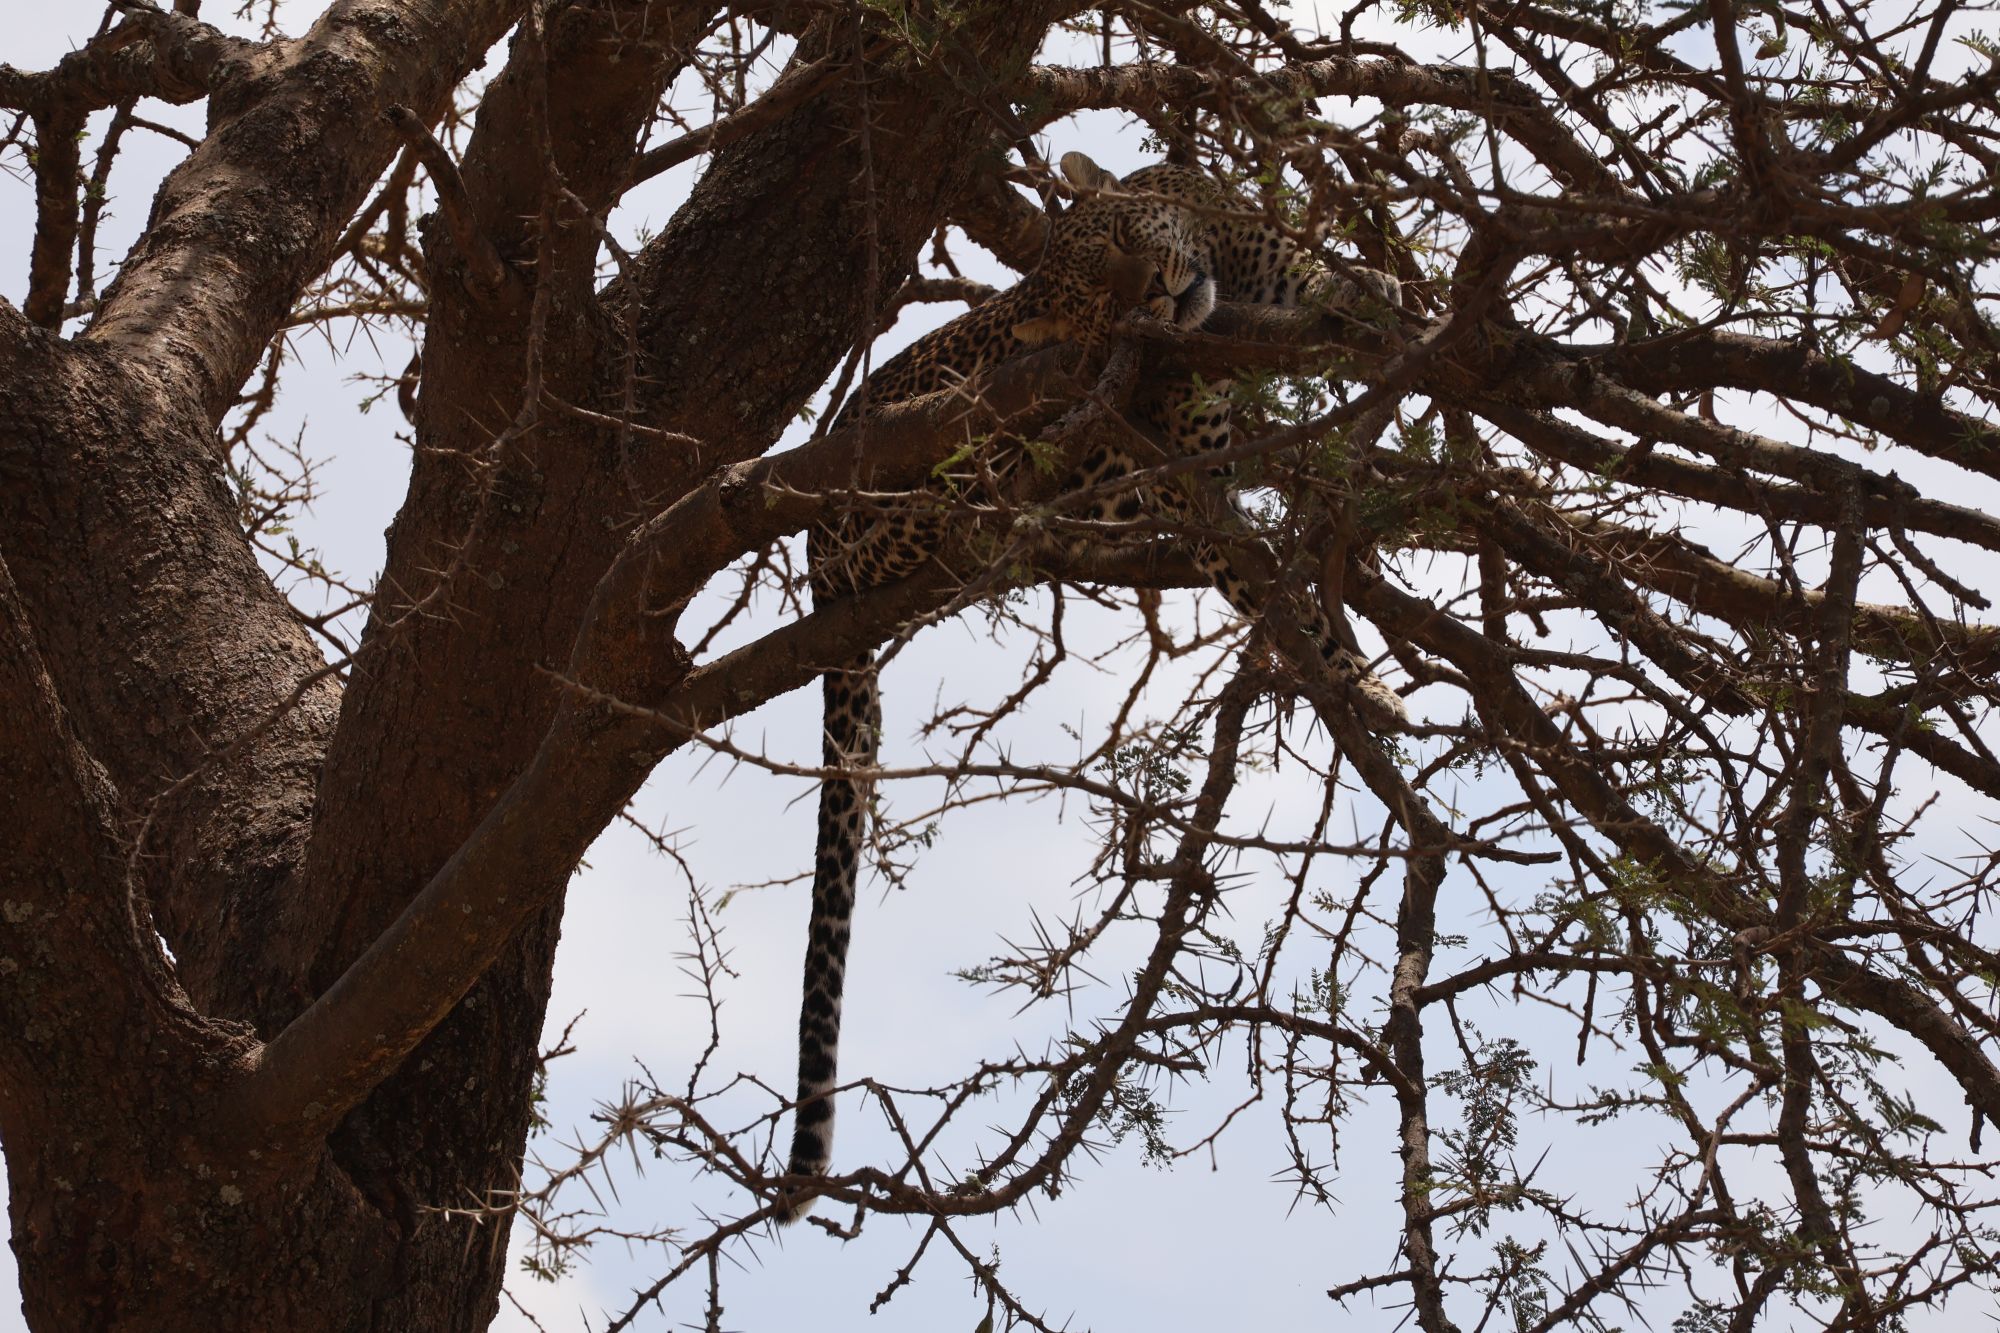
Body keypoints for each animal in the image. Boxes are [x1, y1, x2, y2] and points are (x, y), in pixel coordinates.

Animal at [780, 151, 1404, 1223]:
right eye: (1097, 306)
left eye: (1122, 243)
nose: (1154, 295)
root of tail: (817, 552)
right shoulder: (1195, 476)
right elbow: (1272, 585)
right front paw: (1362, 682)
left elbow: (1355, 304)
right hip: (928, 459)